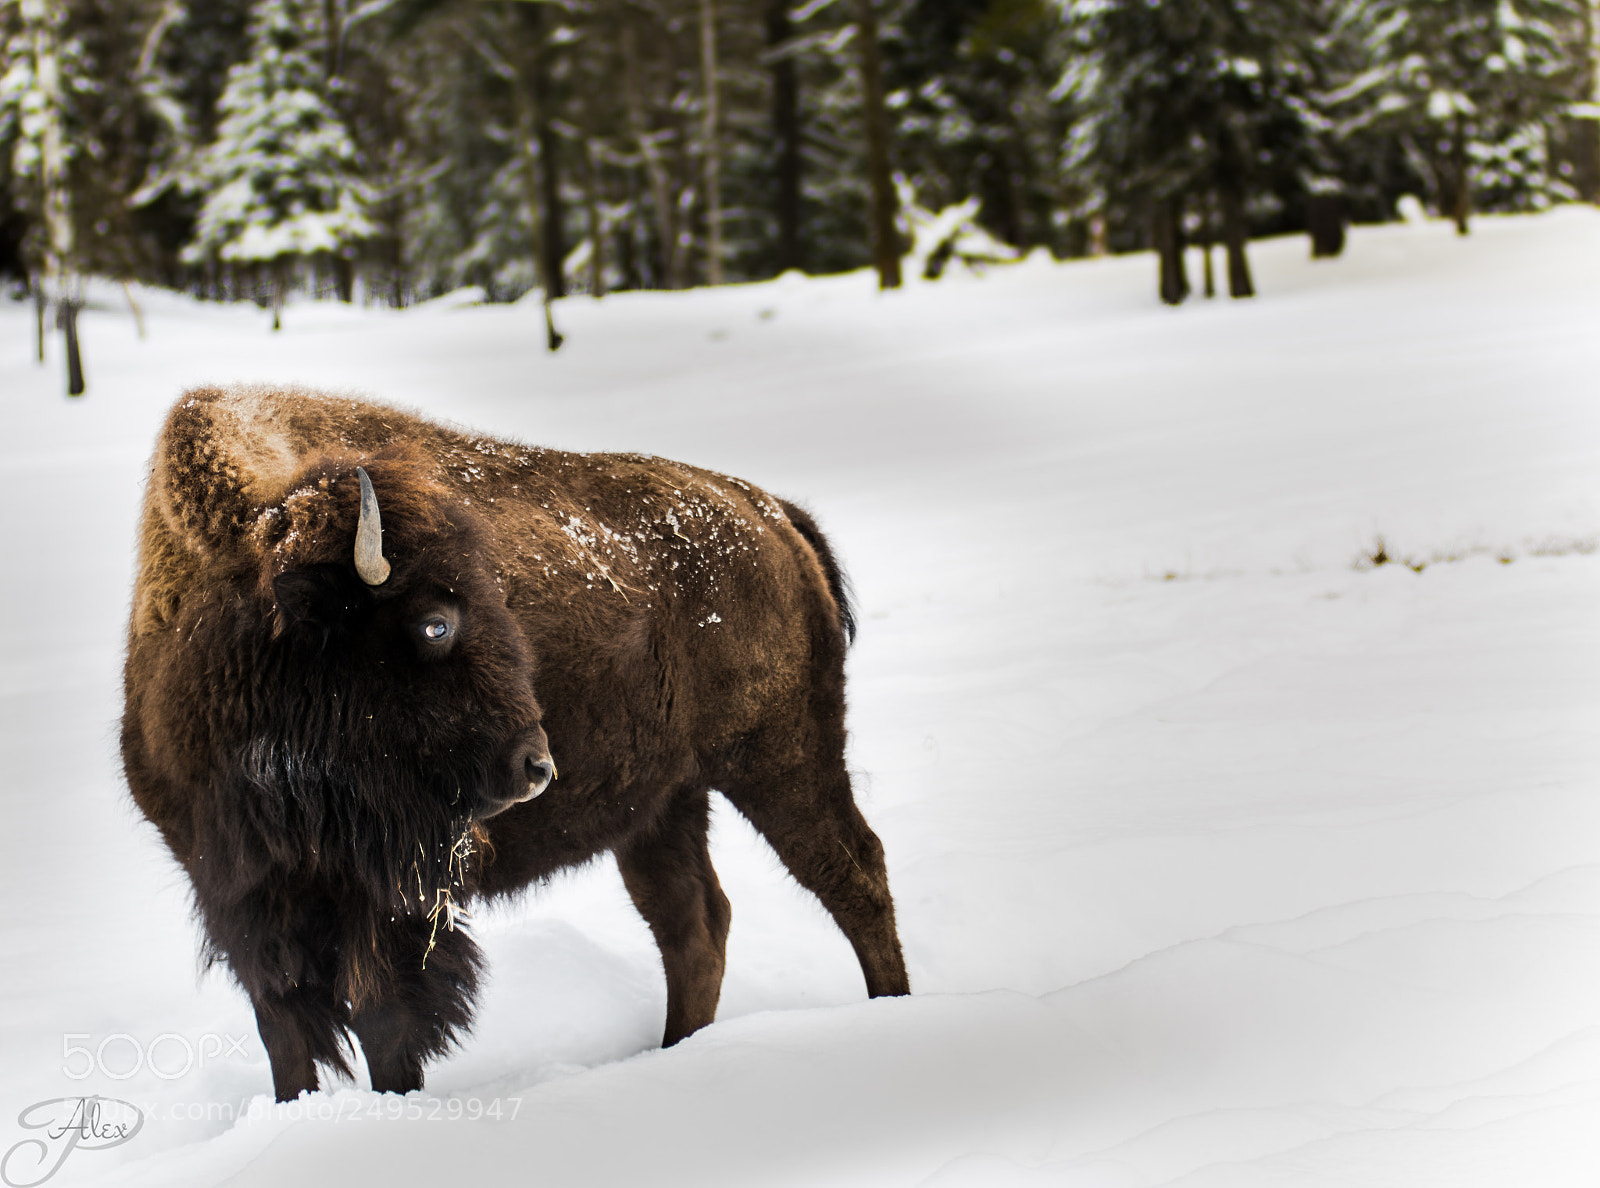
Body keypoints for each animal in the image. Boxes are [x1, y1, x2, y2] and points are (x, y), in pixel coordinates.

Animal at [121, 385, 909, 1102]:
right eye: (436, 622)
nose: (536, 766)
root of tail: (768, 511)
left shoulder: (391, 898)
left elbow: (383, 1023)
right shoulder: (239, 895)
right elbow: (283, 1032)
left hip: (780, 758)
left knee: (853, 877)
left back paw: (894, 1013)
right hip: (665, 804)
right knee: (694, 922)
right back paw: (679, 1048)